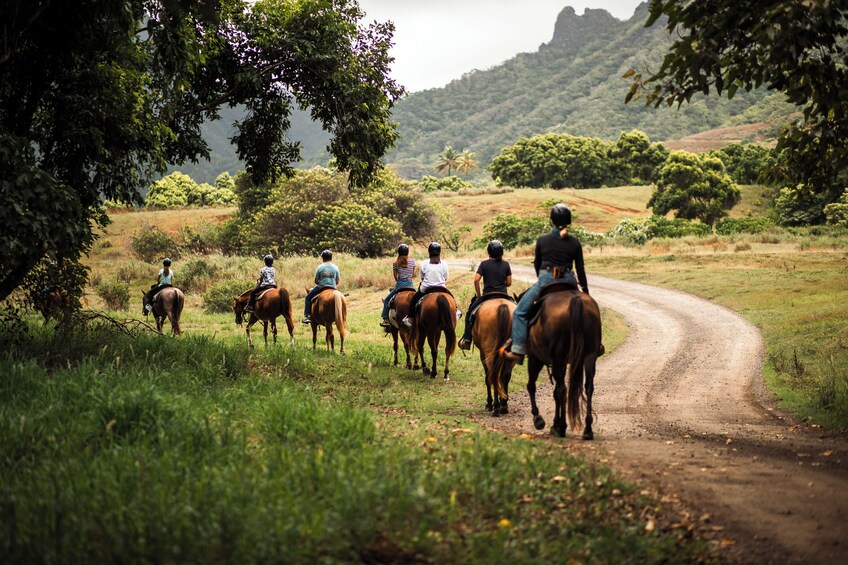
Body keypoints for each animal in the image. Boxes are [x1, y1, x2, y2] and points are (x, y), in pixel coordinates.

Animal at [524, 290, 604, 440]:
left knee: (560, 390)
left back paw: (560, 427)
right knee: (588, 387)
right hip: (589, 356)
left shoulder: (535, 357)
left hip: (557, 358)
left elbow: (532, 386)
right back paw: (587, 430)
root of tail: (576, 299)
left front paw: (540, 419)